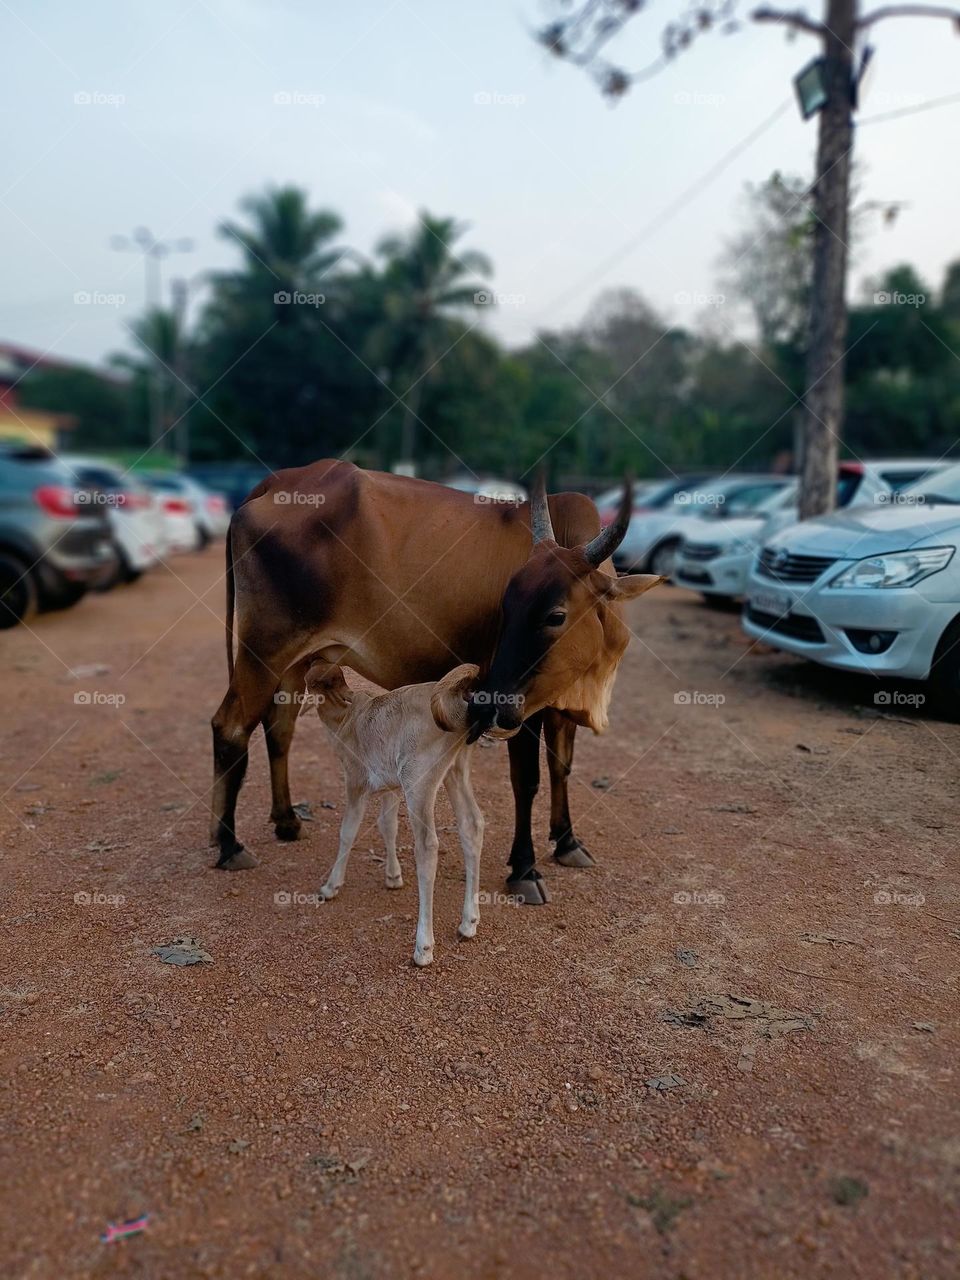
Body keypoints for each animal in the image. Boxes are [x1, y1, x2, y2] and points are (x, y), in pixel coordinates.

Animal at [210, 460, 662, 903]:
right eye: (506, 605)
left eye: (555, 615)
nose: (487, 703)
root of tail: (277, 481)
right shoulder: (523, 709)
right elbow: (527, 781)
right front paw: (524, 869)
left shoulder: (557, 703)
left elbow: (562, 767)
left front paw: (567, 841)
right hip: (263, 652)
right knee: (231, 727)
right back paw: (229, 845)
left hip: (295, 661)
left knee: (279, 727)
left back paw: (286, 821)